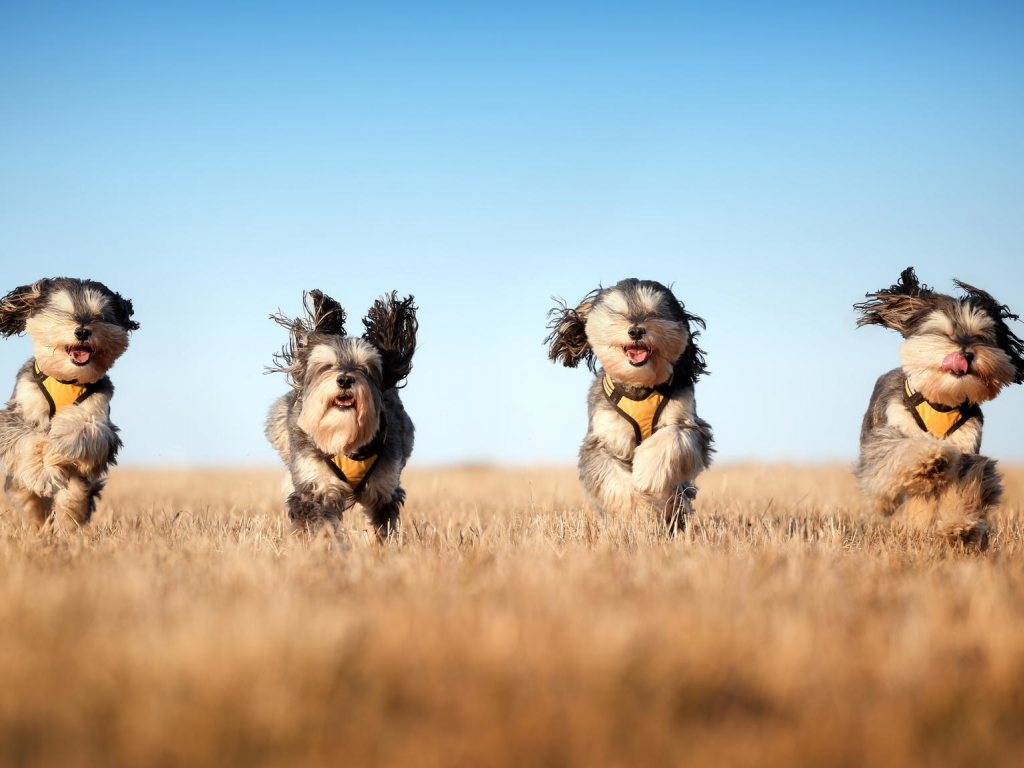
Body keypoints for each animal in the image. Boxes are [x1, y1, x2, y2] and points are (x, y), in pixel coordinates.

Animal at [0, 280, 139, 532]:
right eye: (63, 312)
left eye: (100, 316)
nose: (82, 331)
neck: (67, 378)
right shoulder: (17, 413)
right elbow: (29, 438)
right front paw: (43, 469)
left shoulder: (101, 419)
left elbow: (83, 426)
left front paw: (59, 442)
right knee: (30, 499)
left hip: (79, 485)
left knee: (73, 497)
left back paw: (67, 526)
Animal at [268, 290, 419, 540]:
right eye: (326, 365)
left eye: (366, 366)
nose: (345, 379)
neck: (343, 437)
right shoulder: (315, 487)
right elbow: (322, 524)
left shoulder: (384, 489)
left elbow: (382, 528)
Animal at [544, 280, 712, 532]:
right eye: (618, 312)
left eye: (655, 312)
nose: (636, 331)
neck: (640, 386)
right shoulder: (602, 440)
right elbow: (616, 481)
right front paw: (641, 515)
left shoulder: (689, 422)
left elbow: (673, 437)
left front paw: (648, 472)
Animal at [856, 268, 1024, 544]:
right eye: (945, 333)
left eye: (980, 336)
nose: (966, 354)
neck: (942, 400)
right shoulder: (892, 430)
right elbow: (903, 449)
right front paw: (930, 456)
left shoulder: (967, 449)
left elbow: (964, 487)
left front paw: (960, 527)